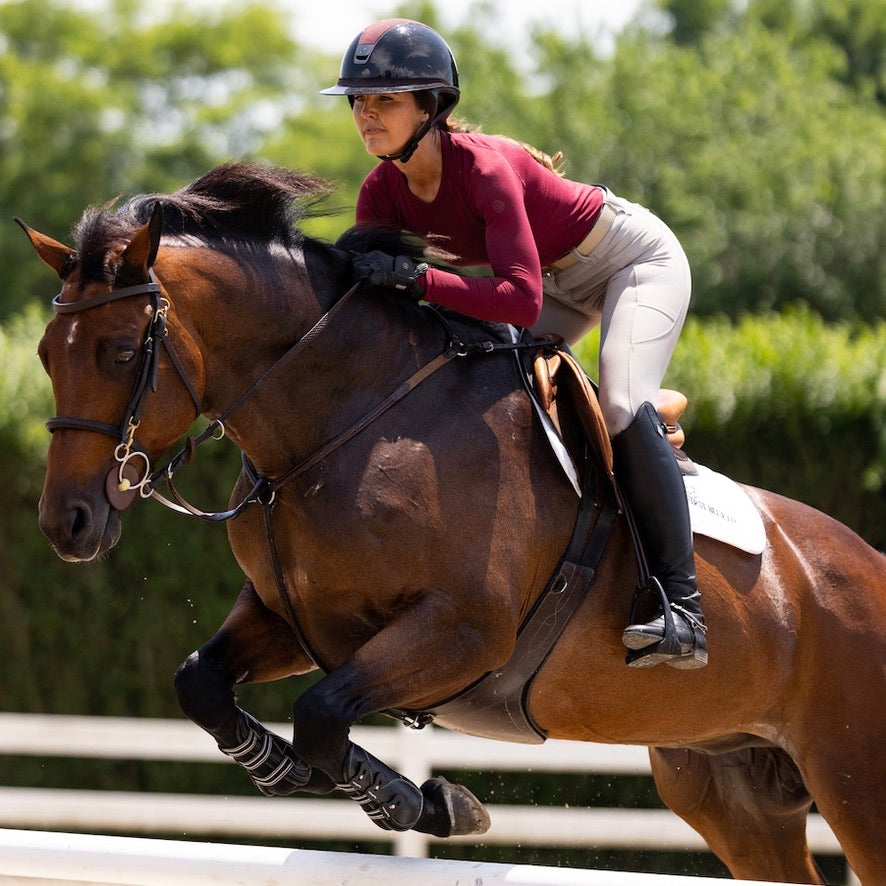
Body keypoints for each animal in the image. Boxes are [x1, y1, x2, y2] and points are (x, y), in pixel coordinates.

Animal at [20, 163, 886, 884]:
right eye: (44, 353)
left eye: (122, 350)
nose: (67, 523)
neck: (348, 418)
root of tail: (867, 565)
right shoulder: (296, 620)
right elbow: (203, 684)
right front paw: (282, 769)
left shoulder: (463, 631)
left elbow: (323, 714)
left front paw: (429, 804)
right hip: (728, 788)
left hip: (853, 783)